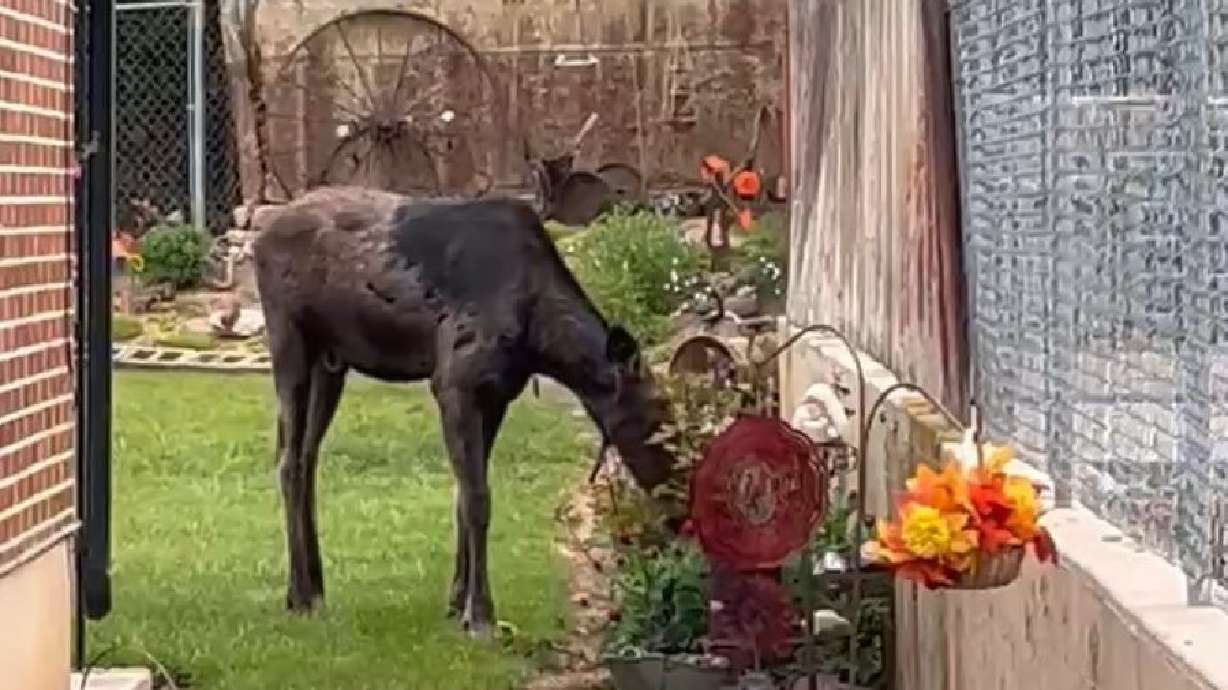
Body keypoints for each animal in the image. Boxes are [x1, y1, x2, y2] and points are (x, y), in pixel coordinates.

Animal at [251, 186, 675, 638]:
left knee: (306, 458)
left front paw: (457, 603)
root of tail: (258, 241)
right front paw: (482, 616)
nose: (676, 496)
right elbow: (477, 499)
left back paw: (313, 587)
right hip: (290, 341)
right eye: (658, 414)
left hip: (332, 362)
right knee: (288, 462)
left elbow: (462, 497)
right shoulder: (455, 385)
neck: (541, 341)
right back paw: (299, 594)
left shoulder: (497, 395)